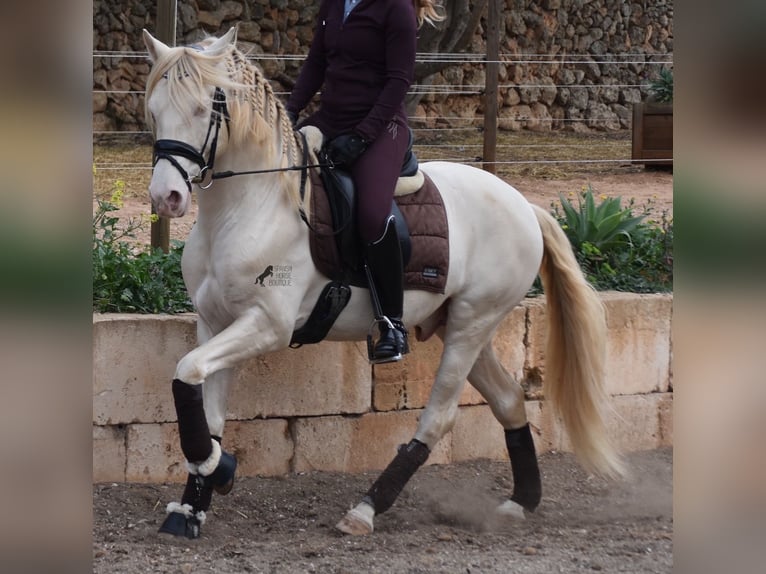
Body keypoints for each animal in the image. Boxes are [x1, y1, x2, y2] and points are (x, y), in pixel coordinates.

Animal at [142, 27, 624, 540]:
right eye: (154, 109)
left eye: (202, 109)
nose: (166, 198)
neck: (249, 207)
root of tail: (524, 206)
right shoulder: (215, 322)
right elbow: (201, 401)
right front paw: (191, 507)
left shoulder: (266, 325)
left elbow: (187, 374)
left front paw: (223, 471)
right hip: (461, 324)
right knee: (510, 400)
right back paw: (520, 502)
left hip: (473, 322)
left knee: (439, 418)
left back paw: (367, 508)